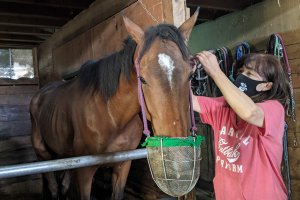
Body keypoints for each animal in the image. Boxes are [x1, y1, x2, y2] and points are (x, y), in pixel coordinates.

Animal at [30, 10, 199, 200]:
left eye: (191, 75)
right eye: (142, 79)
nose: (178, 160)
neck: (111, 116)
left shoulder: (123, 164)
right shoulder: (84, 171)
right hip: (43, 155)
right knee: (52, 186)